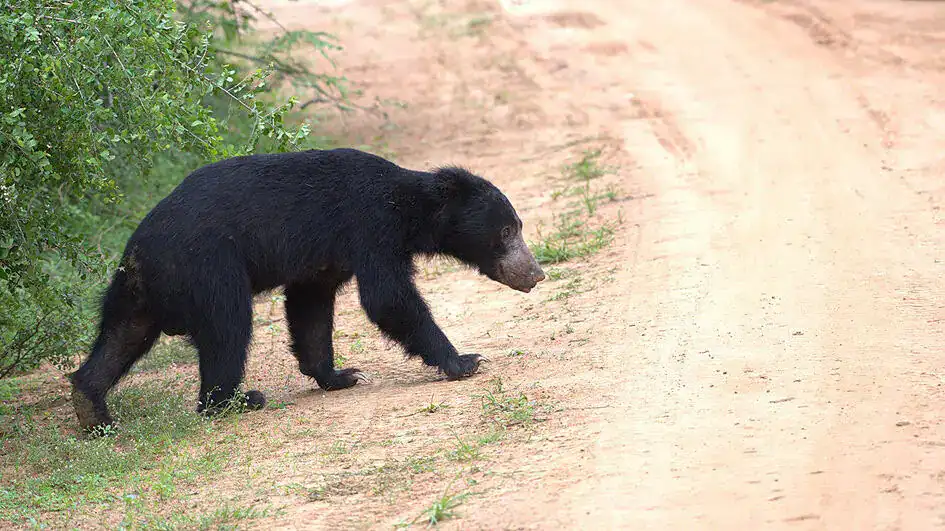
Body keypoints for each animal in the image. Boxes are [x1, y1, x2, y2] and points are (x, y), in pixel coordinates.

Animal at [69, 148, 546, 433]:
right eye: (507, 231)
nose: (535, 274)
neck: (410, 208)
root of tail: (138, 253)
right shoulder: (370, 227)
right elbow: (387, 297)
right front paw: (464, 361)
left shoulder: (324, 258)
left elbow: (310, 307)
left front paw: (340, 376)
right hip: (208, 269)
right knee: (228, 328)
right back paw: (236, 401)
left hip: (137, 294)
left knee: (119, 339)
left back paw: (92, 409)